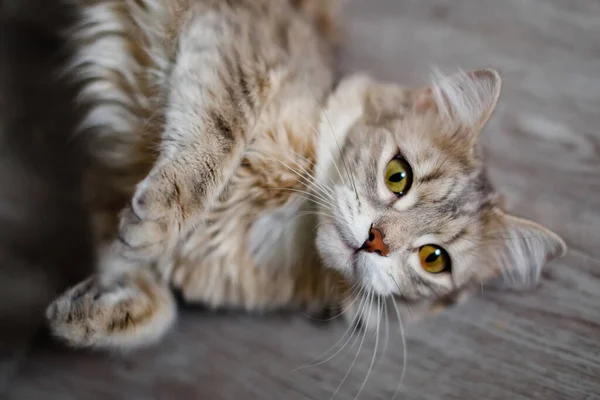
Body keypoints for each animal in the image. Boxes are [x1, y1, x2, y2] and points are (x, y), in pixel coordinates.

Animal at [47, 0, 568, 350]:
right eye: (398, 176)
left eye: (433, 259)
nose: (376, 240)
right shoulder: (242, 42)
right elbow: (220, 132)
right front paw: (162, 218)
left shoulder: (106, 181)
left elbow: (152, 297)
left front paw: (96, 313)